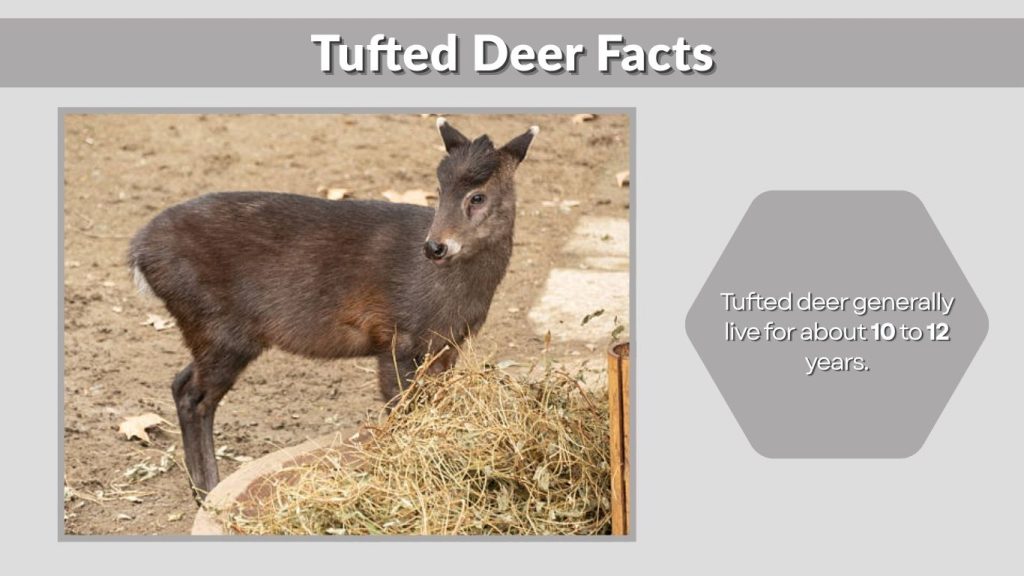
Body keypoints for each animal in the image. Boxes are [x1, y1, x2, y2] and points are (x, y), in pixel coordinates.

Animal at [128, 118, 538, 498]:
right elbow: (401, 411)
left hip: (211, 332)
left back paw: (204, 492)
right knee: (193, 396)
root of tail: (139, 253)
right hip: (221, 328)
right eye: (439, 190)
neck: (453, 300)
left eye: (478, 197)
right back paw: (209, 490)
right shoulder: (397, 337)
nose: (435, 246)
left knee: (182, 383)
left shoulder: (447, 347)